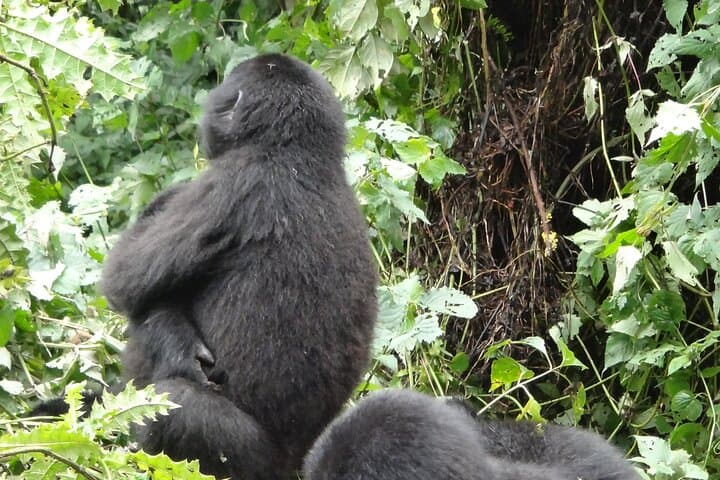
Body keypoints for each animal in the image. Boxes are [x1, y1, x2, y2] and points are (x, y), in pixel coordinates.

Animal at [100, 53, 378, 479]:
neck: (297, 150)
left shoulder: (232, 183)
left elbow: (124, 278)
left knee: (174, 405)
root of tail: (291, 468)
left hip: (249, 463)